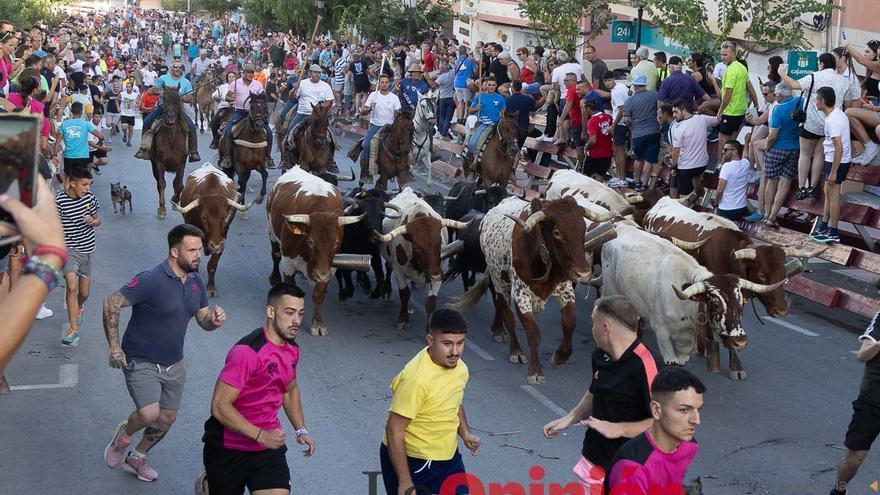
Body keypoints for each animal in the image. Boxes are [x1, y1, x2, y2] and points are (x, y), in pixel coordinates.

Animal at [151, 85, 189, 219]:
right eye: (164, 99)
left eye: (178, 99)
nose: (171, 117)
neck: (172, 139)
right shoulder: (159, 163)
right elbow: (162, 183)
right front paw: (162, 209)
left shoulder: (181, 163)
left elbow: (179, 185)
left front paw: (175, 200)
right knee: (158, 182)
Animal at [172, 165, 253, 298]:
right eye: (204, 217)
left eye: (225, 216)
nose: (215, 245)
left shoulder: (222, 240)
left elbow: (212, 265)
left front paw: (211, 287)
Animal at [266, 167, 366, 338]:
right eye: (311, 242)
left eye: (336, 243)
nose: (321, 275)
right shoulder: (289, 261)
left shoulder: (329, 266)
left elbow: (319, 294)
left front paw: (318, 324)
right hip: (272, 233)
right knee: (275, 255)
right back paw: (274, 278)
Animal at [454, 197, 612, 384]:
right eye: (557, 232)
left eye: (583, 228)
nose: (583, 273)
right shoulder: (521, 295)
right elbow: (533, 332)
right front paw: (535, 371)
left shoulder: (566, 291)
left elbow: (569, 323)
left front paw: (560, 356)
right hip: (498, 278)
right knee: (504, 309)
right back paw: (514, 349)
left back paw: (498, 330)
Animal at [600, 225, 784, 380]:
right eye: (715, 304)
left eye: (741, 306)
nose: (740, 342)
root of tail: (621, 227)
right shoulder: (661, 330)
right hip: (610, 290)